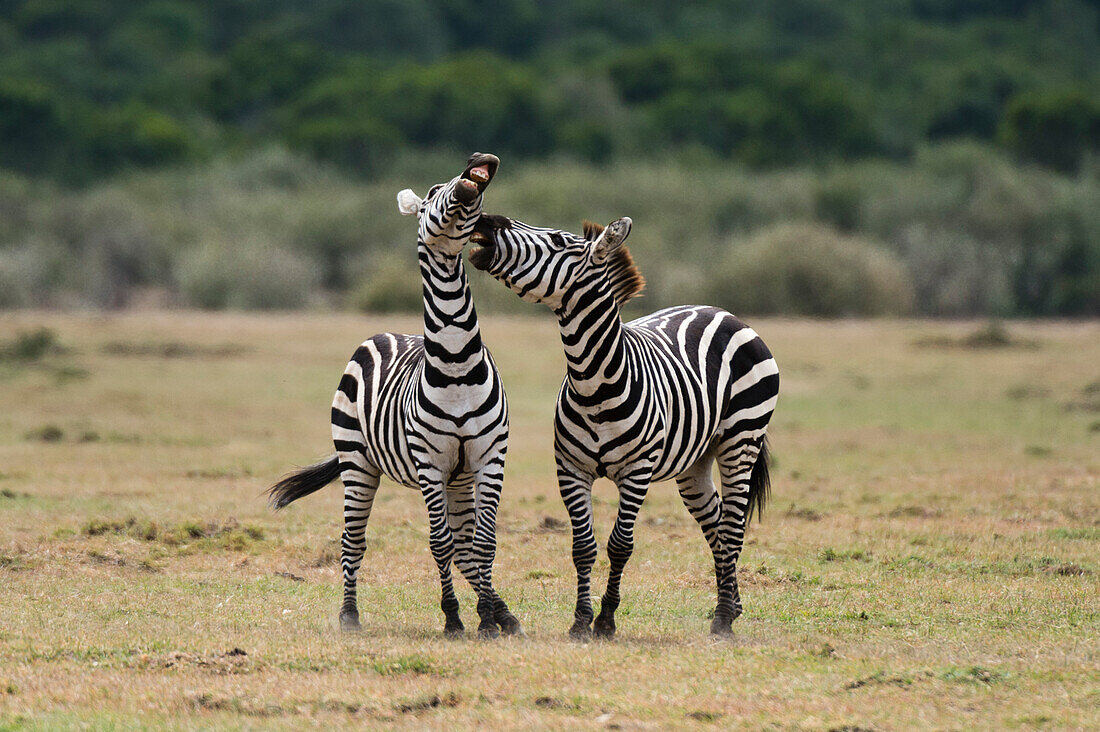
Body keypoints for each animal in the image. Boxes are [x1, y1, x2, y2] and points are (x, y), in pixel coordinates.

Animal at [268, 154, 521, 638]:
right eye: (433, 193)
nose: (477, 164)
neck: (457, 362)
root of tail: (383, 333)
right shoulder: (428, 463)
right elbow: (439, 544)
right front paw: (454, 618)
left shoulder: (489, 458)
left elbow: (483, 543)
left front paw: (491, 616)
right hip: (357, 462)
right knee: (353, 541)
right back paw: (349, 615)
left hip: (457, 478)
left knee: (466, 546)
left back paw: (496, 612)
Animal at [468, 210, 778, 634]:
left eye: (557, 241)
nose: (487, 219)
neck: (593, 382)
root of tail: (722, 312)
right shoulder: (571, 469)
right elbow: (583, 547)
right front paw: (581, 621)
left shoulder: (637, 472)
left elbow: (620, 545)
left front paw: (606, 619)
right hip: (694, 464)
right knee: (715, 525)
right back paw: (732, 603)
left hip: (741, 441)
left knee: (731, 528)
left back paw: (723, 620)